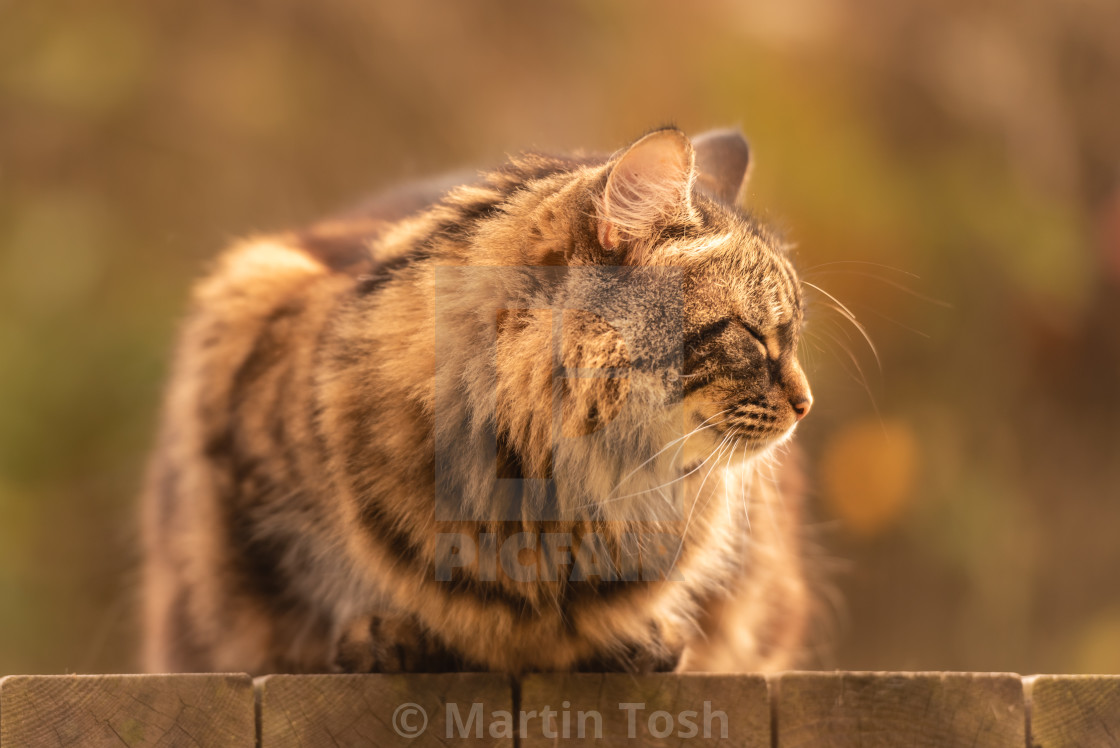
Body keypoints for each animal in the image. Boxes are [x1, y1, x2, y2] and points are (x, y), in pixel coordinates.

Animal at [140, 125, 815, 676]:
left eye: (792, 337)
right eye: (755, 336)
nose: (806, 403)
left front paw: (640, 637)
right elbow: (314, 599)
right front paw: (382, 632)